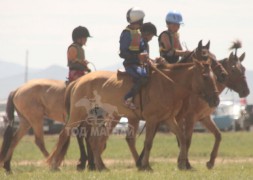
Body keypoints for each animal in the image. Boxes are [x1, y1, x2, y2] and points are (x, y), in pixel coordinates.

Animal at [46, 58, 220, 171]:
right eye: (205, 76)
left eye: (214, 76)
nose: (216, 100)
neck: (167, 84)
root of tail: (79, 81)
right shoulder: (152, 120)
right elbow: (148, 142)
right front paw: (146, 165)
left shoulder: (168, 119)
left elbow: (183, 139)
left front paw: (183, 163)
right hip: (78, 115)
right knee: (64, 134)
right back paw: (54, 165)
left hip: (98, 117)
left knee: (95, 141)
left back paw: (101, 166)